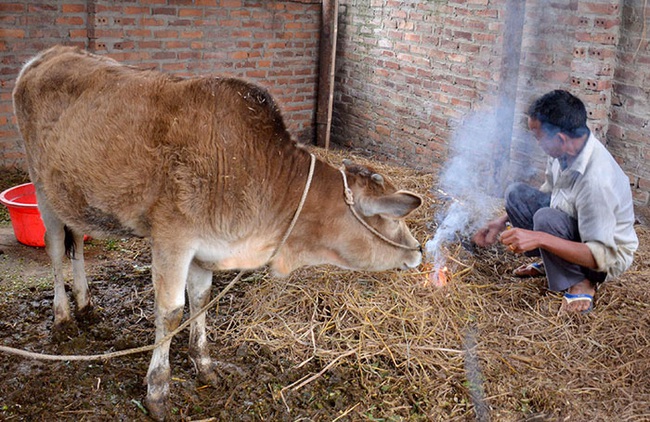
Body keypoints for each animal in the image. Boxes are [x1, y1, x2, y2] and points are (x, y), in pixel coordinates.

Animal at [12, 46, 422, 418]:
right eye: (394, 219)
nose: (418, 250)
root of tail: (46, 56)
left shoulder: (206, 248)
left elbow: (201, 301)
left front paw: (204, 365)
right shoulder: (172, 240)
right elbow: (172, 312)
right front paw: (158, 390)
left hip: (74, 196)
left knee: (77, 244)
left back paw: (85, 304)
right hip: (42, 186)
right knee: (54, 247)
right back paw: (63, 316)